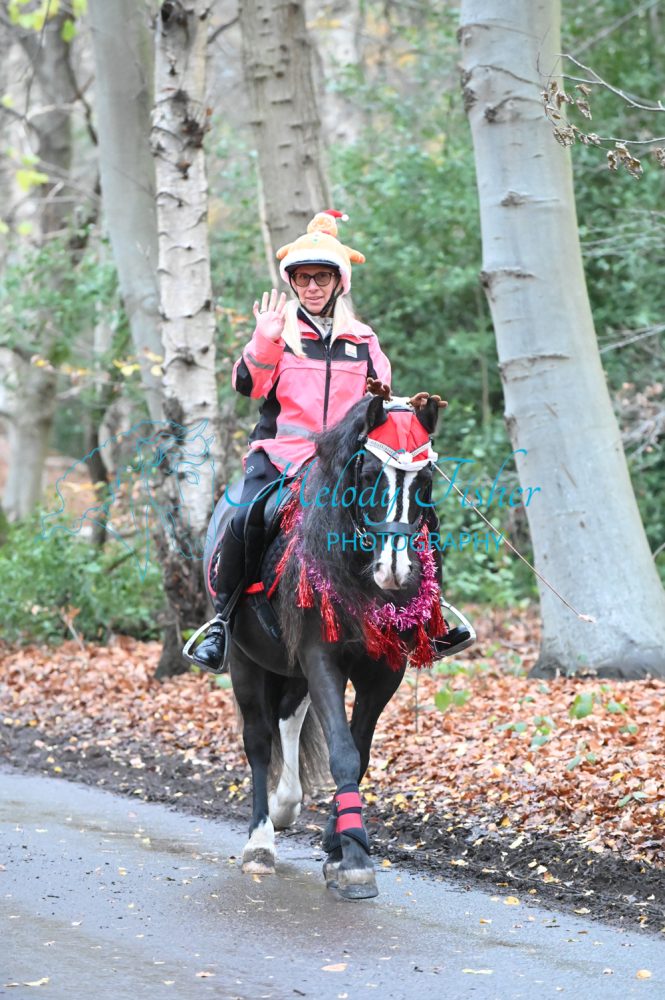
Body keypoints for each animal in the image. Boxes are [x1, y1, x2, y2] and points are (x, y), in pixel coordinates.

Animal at [197, 393, 445, 900]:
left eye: (426, 480)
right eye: (368, 475)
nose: (395, 570)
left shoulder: (383, 672)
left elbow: (359, 752)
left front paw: (338, 844)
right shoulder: (322, 658)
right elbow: (342, 752)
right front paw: (353, 858)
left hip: (289, 669)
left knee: (288, 719)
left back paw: (287, 805)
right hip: (247, 663)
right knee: (258, 741)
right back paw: (260, 842)